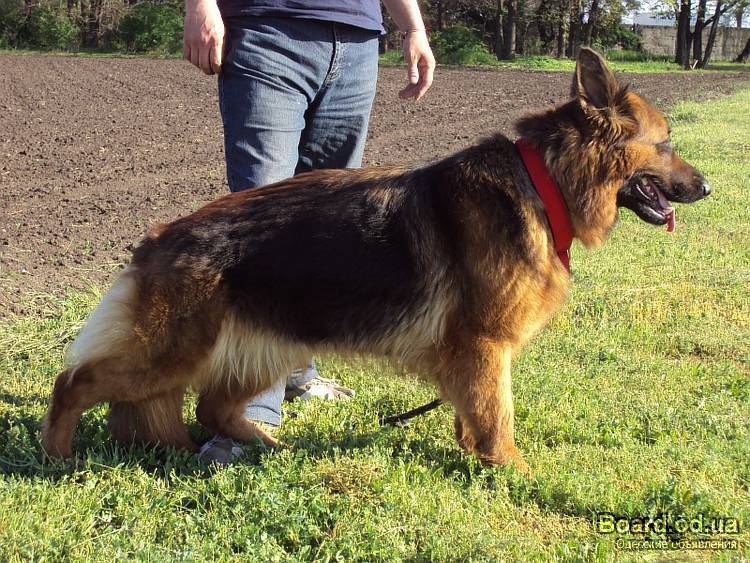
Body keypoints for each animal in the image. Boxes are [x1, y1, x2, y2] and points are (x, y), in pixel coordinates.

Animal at [42, 48, 710, 472]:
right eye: (667, 143)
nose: (708, 188)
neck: (543, 180)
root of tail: (159, 236)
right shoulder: (485, 346)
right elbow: (499, 417)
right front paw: (513, 472)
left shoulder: (473, 357)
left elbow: (475, 412)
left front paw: (474, 456)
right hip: (171, 353)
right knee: (73, 382)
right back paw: (55, 456)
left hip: (268, 345)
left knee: (211, 407)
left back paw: (268, 443)